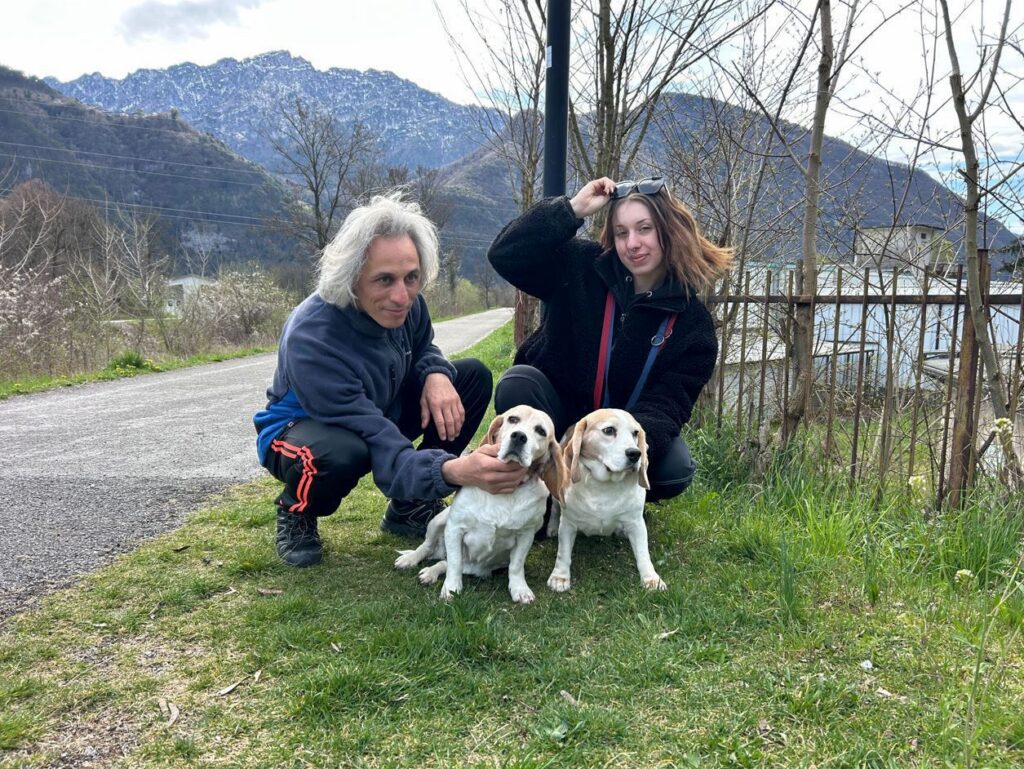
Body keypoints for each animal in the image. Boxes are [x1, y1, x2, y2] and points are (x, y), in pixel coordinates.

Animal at [394, 405, 567, 603]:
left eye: (541, 431)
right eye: (513, 419)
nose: (518, 436)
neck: (503, 494)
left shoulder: (526, 535)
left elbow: (516, 566)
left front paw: (519, 589)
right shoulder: (454, 528)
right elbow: (454, 563)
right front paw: (451, 588)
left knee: (442, 562)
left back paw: (431, 572)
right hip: (437, 522)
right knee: (429, 548)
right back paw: (411, 559)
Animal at [546, 408, 666, 592]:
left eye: (635, 433)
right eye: (609, 430)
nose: (635, 454)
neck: (604, 485)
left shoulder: (636, 523)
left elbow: (643, 553)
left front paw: (651, 578)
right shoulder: (568, 524)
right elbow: (563, 553)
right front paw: (560, 577)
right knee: (554, 509)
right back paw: (552, 527)